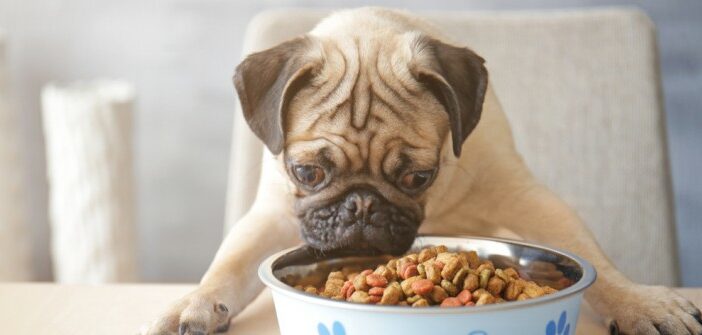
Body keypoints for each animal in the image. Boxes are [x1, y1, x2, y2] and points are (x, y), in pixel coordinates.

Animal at [142, 5, 700, 335]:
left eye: (417, 178)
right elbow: (227, 266)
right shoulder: (274, 215)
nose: (361, 204)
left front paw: (641, 304)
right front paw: (194, 303)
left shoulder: (525, 196)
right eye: (308, 174)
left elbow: (594, 257)